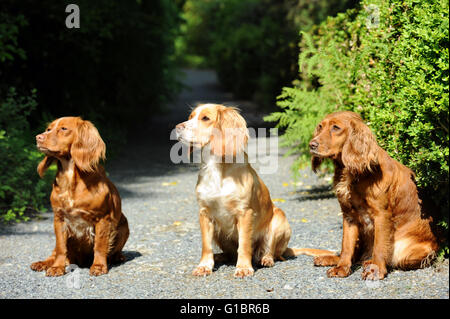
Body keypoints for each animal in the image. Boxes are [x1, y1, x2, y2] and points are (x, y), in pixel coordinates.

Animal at [30, 117, 129, 278]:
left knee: (115, 250)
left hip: (125, 224)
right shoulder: (59, 218)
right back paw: (43, 263)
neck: (70, 178)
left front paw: (99, 266)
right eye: (48, 129)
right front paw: (57, 267)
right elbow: (60, 247)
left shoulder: (103, 218)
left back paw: (118, 257)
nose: (38, 137)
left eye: (64, 129)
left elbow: (100, 245)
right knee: (54, 252)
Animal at [308, 112, 438, 280]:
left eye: (336, 127)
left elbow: (379, 246)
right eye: (320, 126)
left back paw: (369, 262)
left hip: (409, 252)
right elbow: (346, 245)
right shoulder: (348, 215)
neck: (352, 173)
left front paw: (376, 270)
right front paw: (341, 268)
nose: (312, 145)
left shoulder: (381, 215)